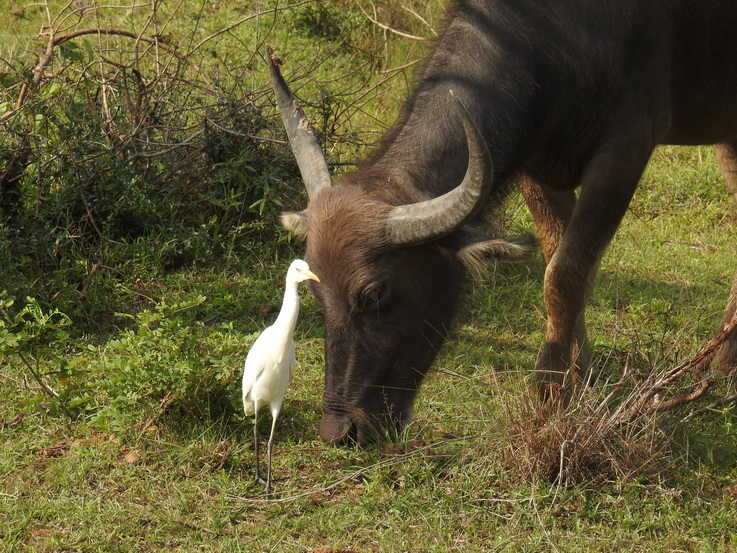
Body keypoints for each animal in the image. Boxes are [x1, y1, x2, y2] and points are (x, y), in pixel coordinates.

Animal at [268, 0, 736, 440]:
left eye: (374, 294)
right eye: (316, 294)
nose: (339, 430)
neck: (553, 40)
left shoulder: (625, 153)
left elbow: (565, 276)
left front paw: (548, 395)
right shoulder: (538, 167)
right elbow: (559, 260)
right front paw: (579, 376)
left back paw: (723, 368)